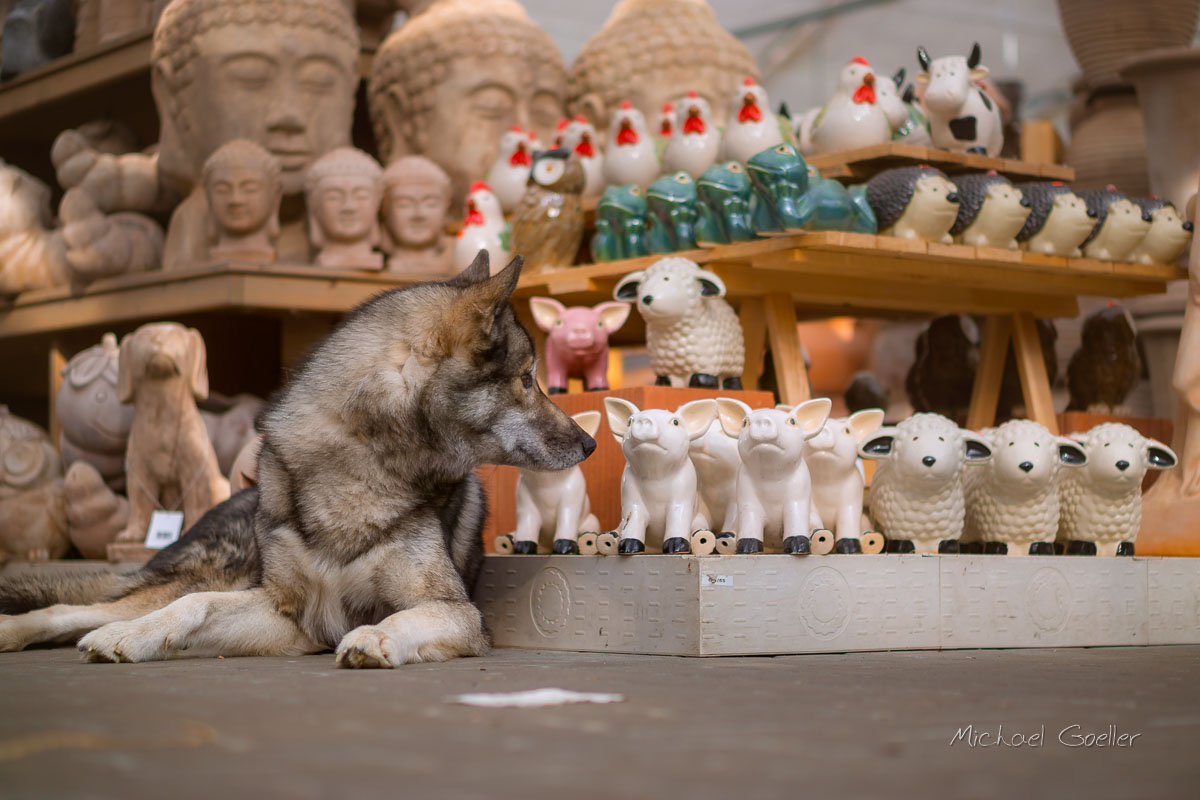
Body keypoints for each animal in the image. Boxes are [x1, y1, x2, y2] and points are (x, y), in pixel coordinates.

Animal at [0, 253, 595, 667]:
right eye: (527, 380)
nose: (590, 445)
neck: (362, 466)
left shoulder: (449, 612)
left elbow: (408, 614)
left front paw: (377, 635)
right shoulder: (286, 610)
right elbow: (193, 606)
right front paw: (133, 638)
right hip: (206, 573)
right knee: (80, 608)